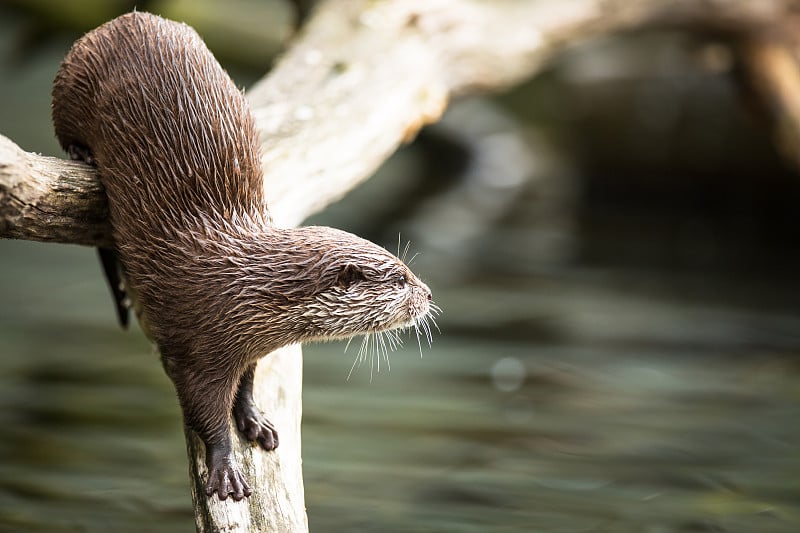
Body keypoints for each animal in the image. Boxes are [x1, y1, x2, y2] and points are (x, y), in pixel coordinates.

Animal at [52, 13, 434, 502]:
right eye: (399, 277)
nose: (428, 293)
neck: (243, 290)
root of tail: (129, 17)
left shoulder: (248, 344)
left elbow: (248, 381)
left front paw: (254, 419)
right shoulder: (198, 346)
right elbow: (205, 409)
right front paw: (225, 467)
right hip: (72, 80)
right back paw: (80, 151)